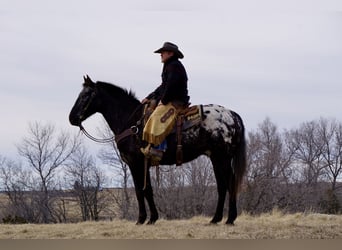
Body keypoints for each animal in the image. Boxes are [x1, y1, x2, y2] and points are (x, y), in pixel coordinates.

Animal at [69, 74, 246, 225]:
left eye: (86, 95)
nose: (72, 118)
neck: (132, 123)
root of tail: (232, 115)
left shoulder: (136, 163)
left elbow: (141, 191)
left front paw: (143, 219)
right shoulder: (141, 164)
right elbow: (146, 190)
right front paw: (151, 218)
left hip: (223, 158)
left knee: (230, 184)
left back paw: (230, 219)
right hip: (215, 158)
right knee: (222, 186)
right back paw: (216, 219)